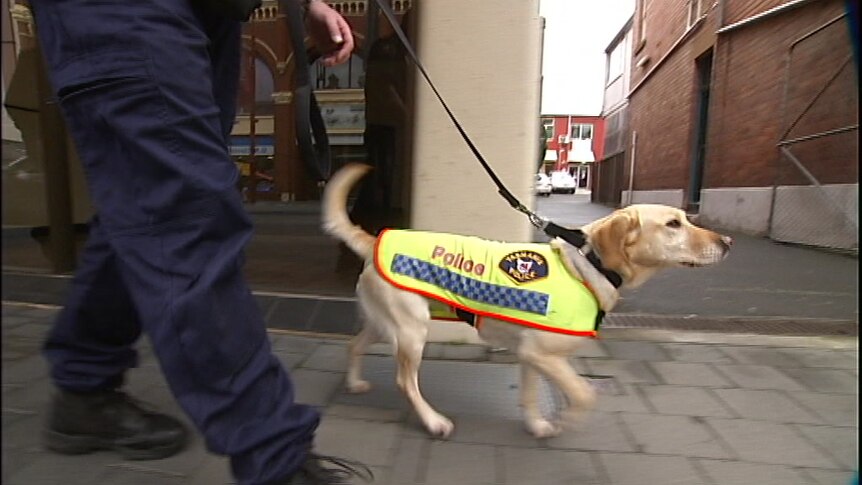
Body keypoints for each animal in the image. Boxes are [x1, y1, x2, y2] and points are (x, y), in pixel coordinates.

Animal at [320, 164, 732, 438]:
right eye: (673, 224)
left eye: (685, 219)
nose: (728, 242)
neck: (589, 264)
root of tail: (375, 239)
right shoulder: (543, 354)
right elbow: (584, 394)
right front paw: (565, 420)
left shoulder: (531, 354)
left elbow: (532, 394)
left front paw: (537, 424)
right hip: (411, 330)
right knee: (406, 381)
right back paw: (434, 421)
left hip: (385, 323)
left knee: (354, 345)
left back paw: (354, 383)